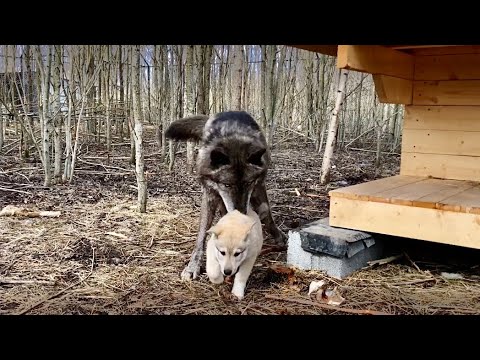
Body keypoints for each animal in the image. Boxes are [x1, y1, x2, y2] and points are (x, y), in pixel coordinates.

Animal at [165, 110, 284, 282]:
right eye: (227, 185)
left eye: (248, 183)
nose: (241, 213)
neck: (233, 139)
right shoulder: (210, 194)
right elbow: (202, 234)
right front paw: (193, 266)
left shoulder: (258, 186)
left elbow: (266, 213)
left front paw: (278, 236)